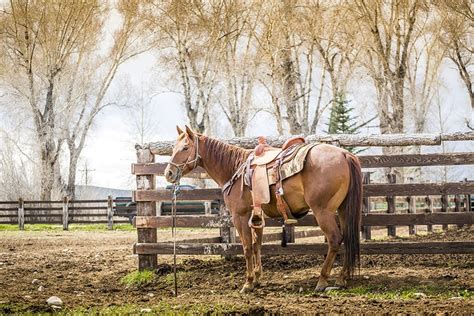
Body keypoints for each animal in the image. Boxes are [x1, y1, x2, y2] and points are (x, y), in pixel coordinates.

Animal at [165, 124, 362, 292]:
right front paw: (258, 278)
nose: (169, 173)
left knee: (335, 239)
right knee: (348, 237)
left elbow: (246, 247)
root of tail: (344, 154)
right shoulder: (256, 216)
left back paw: (322, 281)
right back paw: (342, 278)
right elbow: (256, 244)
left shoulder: (240, 216)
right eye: (173, 148)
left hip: (323, 212)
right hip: (343, 209)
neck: (234, 169)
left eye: (185, 148)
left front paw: (248, 283)